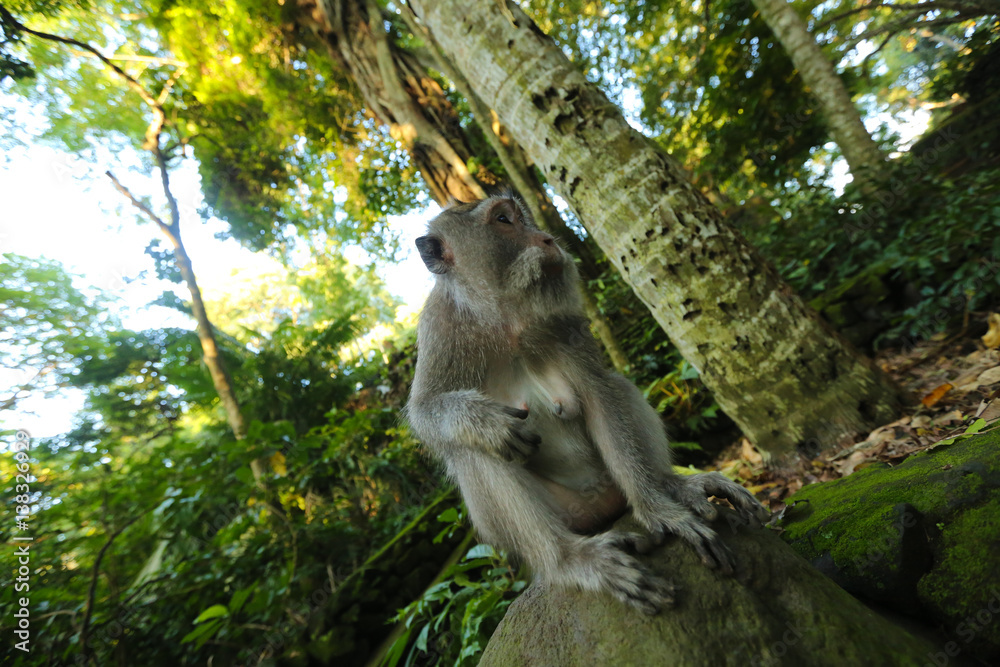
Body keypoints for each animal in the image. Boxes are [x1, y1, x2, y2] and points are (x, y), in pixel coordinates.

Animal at [405, 192, 769, 614]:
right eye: (503, 220)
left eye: (518, 217)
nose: (547, 238)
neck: (505, 318)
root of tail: (602, 510)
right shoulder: (441, 330)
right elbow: (426, 413)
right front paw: (483, 421)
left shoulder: (566, 325)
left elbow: (599, 395)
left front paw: (657, 509)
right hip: (559, 517)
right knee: (476, 450)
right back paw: (570, 559)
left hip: (610, 483)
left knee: (615, 386)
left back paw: (670, 485)